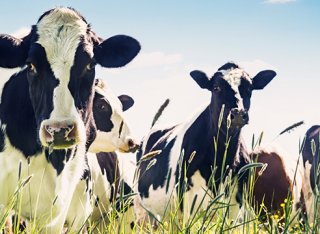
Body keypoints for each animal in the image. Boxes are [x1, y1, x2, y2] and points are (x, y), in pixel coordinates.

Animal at [134, 61, 276, 228]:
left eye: (249, 89)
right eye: (216, 88)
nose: (238, 113)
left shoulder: (236, 203)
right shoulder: (188, 201)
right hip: (142, 211)